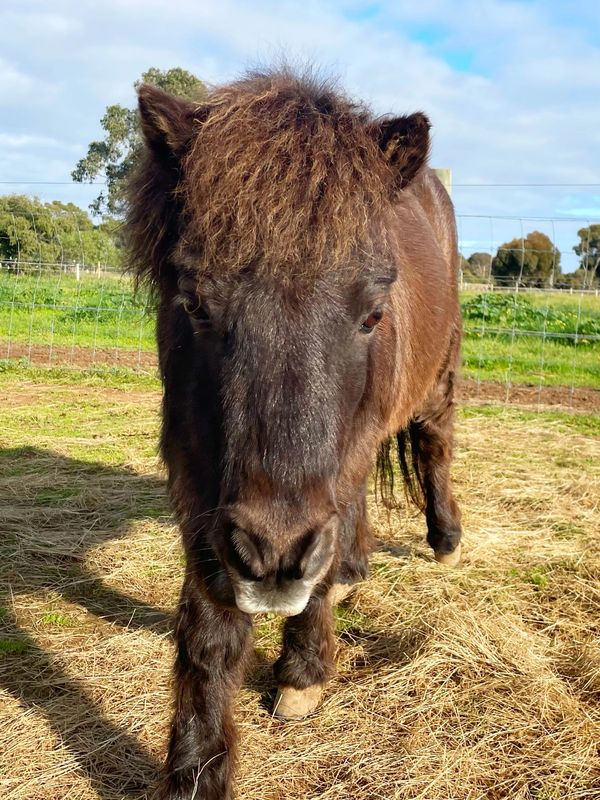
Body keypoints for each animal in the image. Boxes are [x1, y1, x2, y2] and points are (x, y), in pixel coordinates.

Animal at [127, 69, 464, 800]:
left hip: (435, 386)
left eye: (373, 314)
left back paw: (445, 541)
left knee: (433, 444)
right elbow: (209, 628)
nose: (275, 559)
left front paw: (304, 676)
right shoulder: (198, 477)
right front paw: (196, 767)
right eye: (192, 304)